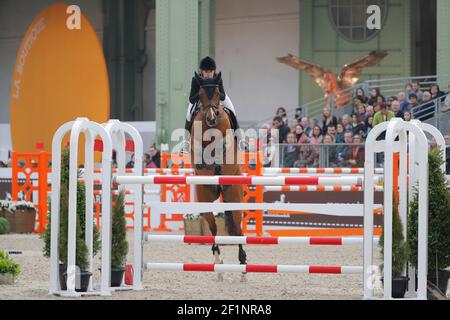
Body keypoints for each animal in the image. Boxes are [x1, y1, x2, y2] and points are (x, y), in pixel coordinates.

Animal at [188, 71, 248, 282]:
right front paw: (204, 162)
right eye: (200, 95)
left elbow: (223, 143)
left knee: (238, 230)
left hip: (234, 195)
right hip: (206, 197)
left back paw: (243, 267)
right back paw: (219, 264)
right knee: (213, 230)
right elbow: (200, 147)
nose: (212, 118)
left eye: (216, 94)